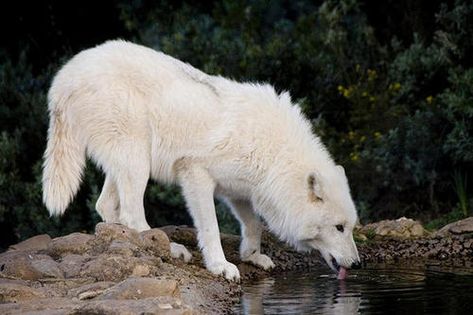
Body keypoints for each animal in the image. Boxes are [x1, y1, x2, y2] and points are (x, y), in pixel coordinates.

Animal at [44, 40, 360, 282]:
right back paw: (171, 250)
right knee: (131, 214)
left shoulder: (239, 190)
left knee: (106, 206)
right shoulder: (196, 175)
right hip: (138, 162)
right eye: (339, 227)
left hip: (128, 162)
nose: (359, 264)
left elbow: (254, 225)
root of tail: (63, 77)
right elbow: (211, 229)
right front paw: (221, 266)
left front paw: (253, 257)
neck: (275, 155)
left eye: (351, 226)